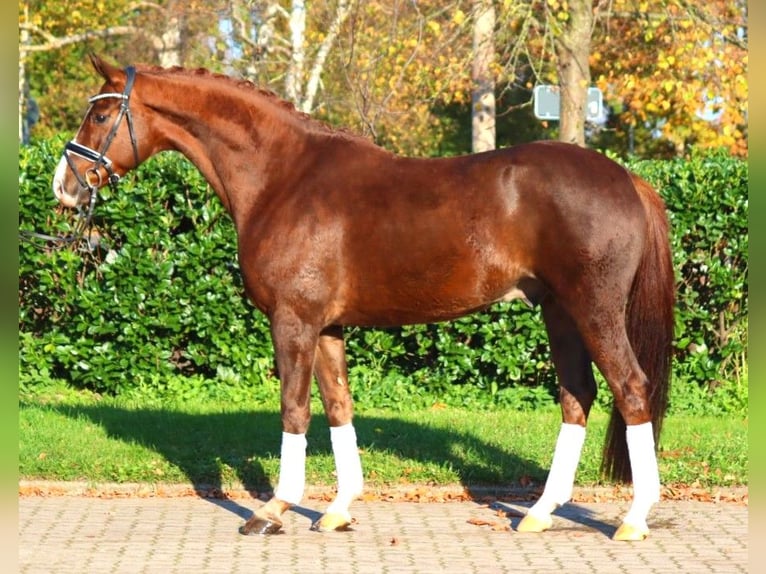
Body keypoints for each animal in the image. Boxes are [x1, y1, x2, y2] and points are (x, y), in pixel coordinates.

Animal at [52, 56, 672, 544]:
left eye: (101, 115)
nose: (64, 185)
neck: (283, 177)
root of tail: (628, 179)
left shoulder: (293, 322)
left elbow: (295, 410)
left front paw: (274, 508)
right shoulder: (326, 328)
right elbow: (339, 407)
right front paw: (339, 509)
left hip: (593, 310)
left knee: (630, 390)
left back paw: (633, 519)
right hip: (558, 312)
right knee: (578, 396)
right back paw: (541, 512)